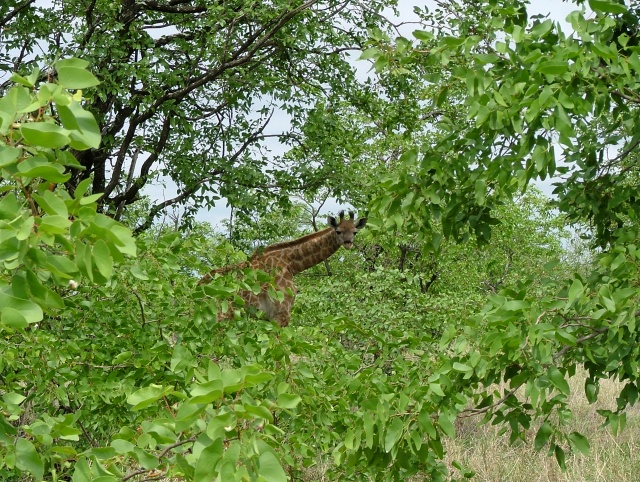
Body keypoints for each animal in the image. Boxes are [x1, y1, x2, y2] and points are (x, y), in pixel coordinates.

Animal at [198, 210, 367, 327]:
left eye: (354, 232)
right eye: (338, 231)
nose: (348, 243)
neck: (290, 263)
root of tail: (198, 287)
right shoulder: (281, 313)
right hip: (220, 315)